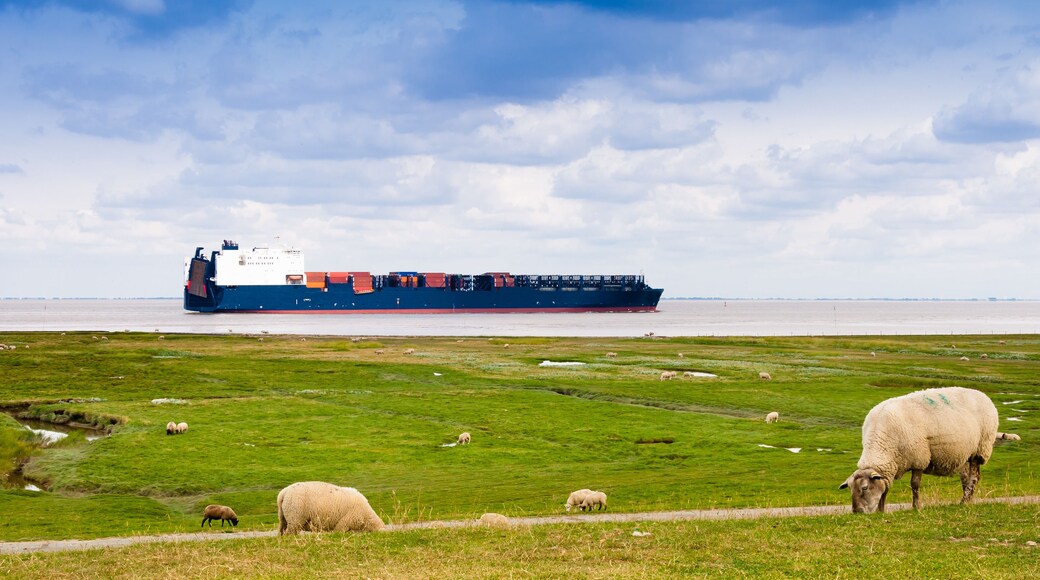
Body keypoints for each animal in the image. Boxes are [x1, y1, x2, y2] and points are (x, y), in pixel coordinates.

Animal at [839, 386, 998, 513]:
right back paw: (967, 500)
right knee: (965, 479)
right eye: (850, 489)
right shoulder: (891, 466)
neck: (882, 443)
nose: (857, 512)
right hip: (964, 455)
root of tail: (983, 395)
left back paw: (964, 501)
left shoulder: (919, 459)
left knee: (974, 478)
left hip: (980, 449)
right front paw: (881, 510)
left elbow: (914, 485)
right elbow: (885, 489)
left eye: (865, 488)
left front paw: (916, 507)